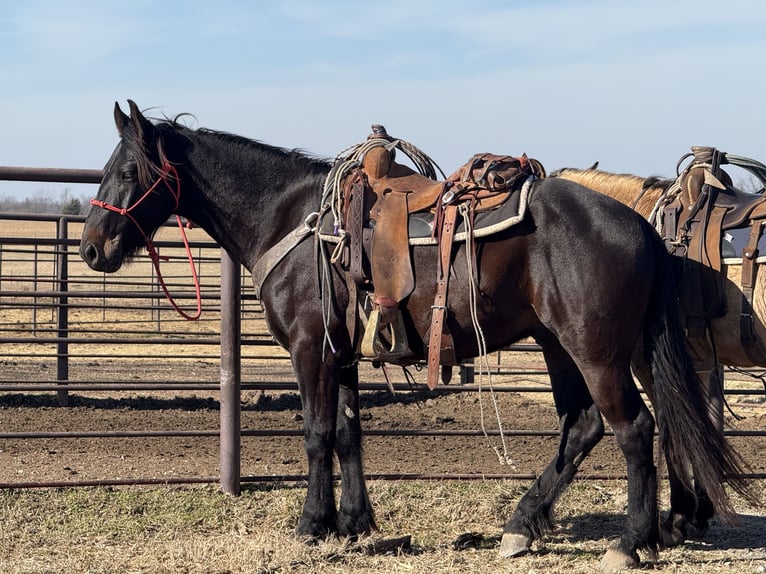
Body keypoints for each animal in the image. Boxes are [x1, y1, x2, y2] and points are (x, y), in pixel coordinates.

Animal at [552, 159, 766, 538]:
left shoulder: (650, 363)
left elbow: (673, 427)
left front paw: (678, 517)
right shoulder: (702, 362)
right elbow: (704, 424)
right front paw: (699, 511)